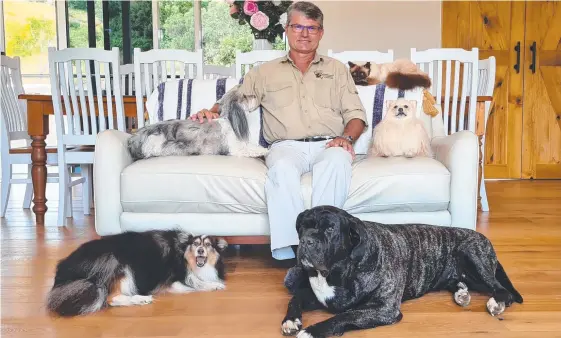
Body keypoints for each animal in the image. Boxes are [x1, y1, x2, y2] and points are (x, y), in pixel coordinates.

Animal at [128, 86, 268, 162]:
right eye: (246, 96)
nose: (255, 95)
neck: (229, 120)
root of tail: (137, 137)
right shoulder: (236, 149)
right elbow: (252, 150)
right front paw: (265, 151)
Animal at [282, 205, 524, 336]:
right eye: (302, 226)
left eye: (330, 229)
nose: (306, 240)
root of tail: (485, 239)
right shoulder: (317, 295)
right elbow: (295, 298)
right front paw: (291, 320)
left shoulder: (384, 309)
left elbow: (345, 315)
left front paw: (311, 331)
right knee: (461, 282)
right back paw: (462, 294)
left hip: (472, 254)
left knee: (501, 289)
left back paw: (495, 302)